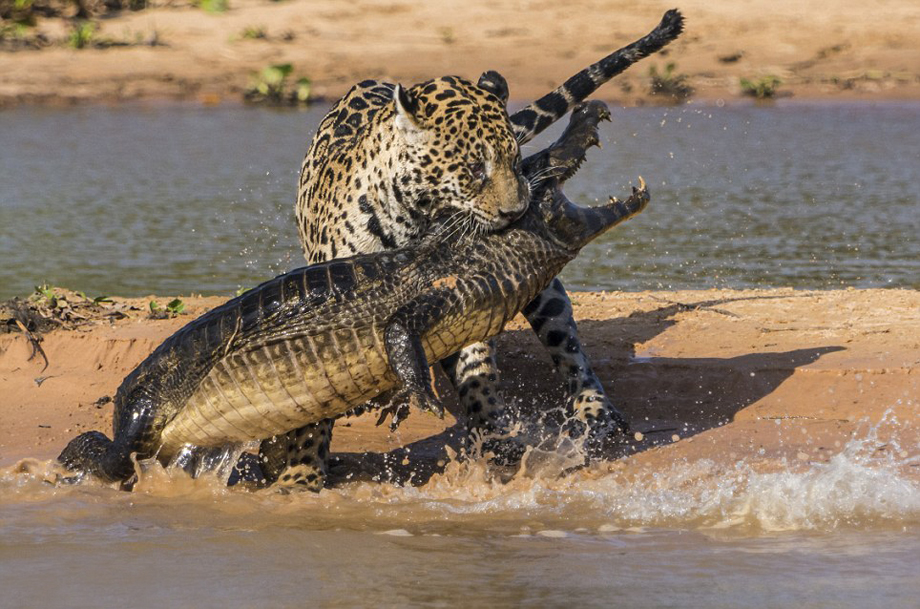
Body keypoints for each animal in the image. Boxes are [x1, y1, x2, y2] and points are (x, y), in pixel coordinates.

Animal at [258, 9, 685, 490]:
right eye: (474, 168)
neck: (416, 219)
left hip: (546, 295)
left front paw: (494, 438)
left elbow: (476, 367)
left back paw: (595, 411)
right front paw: (300, 475)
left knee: (570, 349)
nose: (517, 211)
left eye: (515, 160)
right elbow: (311, 404)